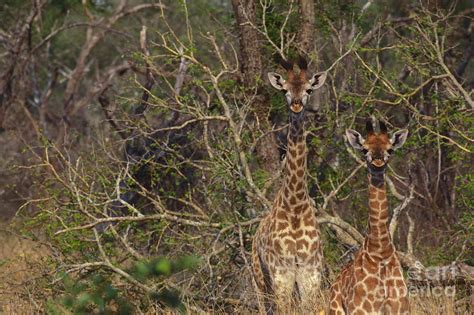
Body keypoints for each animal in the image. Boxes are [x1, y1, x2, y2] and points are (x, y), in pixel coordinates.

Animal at [252, 57, 326, 314]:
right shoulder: (281, 273)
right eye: (284, 89)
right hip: (259, 277)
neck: (295, 205)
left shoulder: (309, 272)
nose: (296, 105)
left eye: (309, 89)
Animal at [330, 119, 412, 314]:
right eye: (364, 149)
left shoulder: (401, 308)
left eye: (390, 149)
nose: (378, 161)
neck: (380, 252)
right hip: (335, 309)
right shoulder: (362, 310)